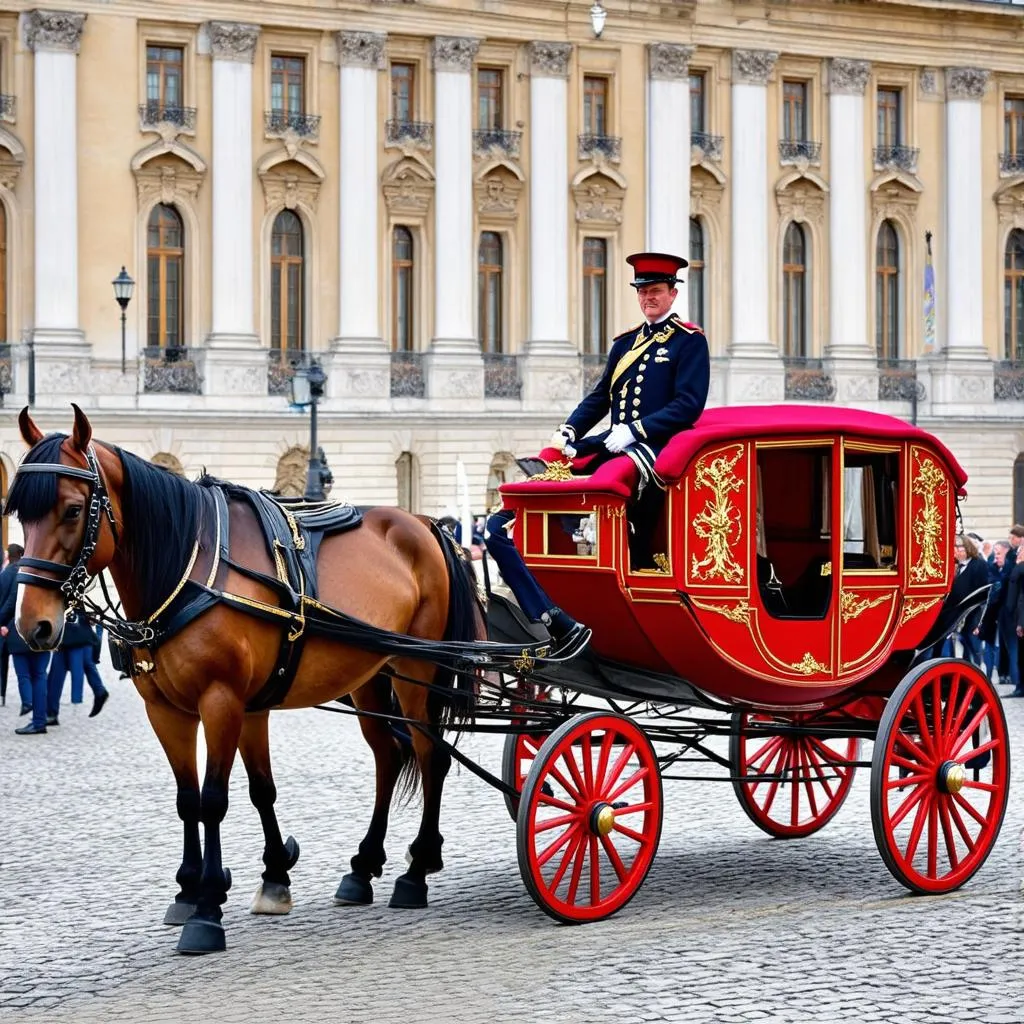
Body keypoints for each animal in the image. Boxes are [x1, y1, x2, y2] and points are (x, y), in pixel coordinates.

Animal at [6, 403, 487, 954]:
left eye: (70, 509)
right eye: (19, 512)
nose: (33, 625)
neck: (187, 566)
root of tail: (425, 523)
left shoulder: (223, 702)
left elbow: (214, 800)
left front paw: (208, 909)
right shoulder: (173, 710)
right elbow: (212, 796)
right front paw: (231, 881)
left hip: (417, 672)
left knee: (431, 757)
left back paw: (418, 869)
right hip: (370, 676)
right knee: (388, 756)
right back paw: (363, 866)